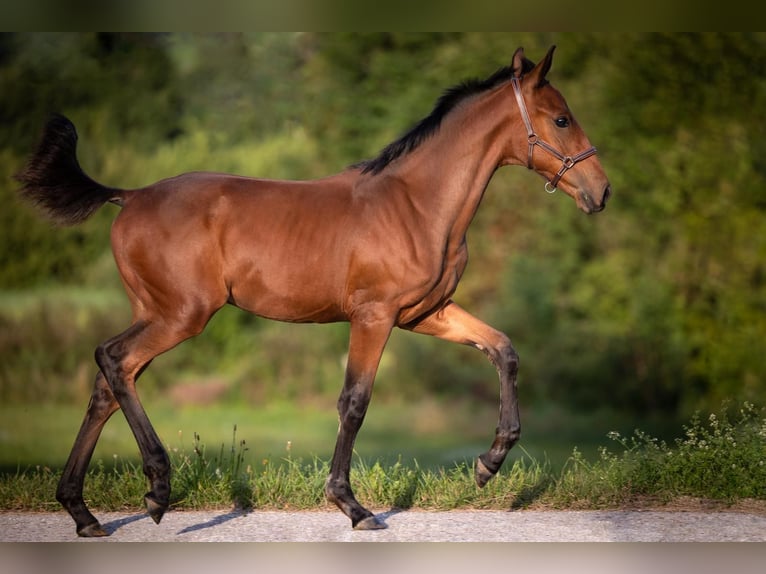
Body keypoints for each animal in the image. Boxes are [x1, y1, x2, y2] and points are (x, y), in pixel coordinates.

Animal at [15, 46, 612, 540]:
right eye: (561, 118)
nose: (602, 191)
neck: (417, 205)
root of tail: (130, 195)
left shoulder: (427, 313)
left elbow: (503, 349)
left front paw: (489, 463)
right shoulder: (374, 316)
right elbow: (355, 401)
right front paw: (353, 506)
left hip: (156, 311)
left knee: (108, 383)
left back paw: (84, 513)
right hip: (181, 315)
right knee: (114, 360)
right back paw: (157, 490)